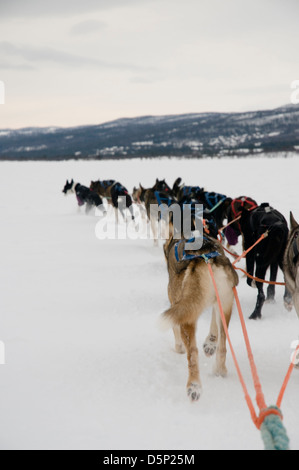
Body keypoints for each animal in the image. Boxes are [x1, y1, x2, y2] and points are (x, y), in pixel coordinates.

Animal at [162, 226, 239, 402]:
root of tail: (205, 257)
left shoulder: (176, 306)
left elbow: (175, 329)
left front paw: (179, 348)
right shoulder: (215, 303)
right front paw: (210, 343)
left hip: (188, 316)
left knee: (193, 353)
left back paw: (194, 386)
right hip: (225, 304)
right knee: (223, 344)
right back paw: (219, 369)